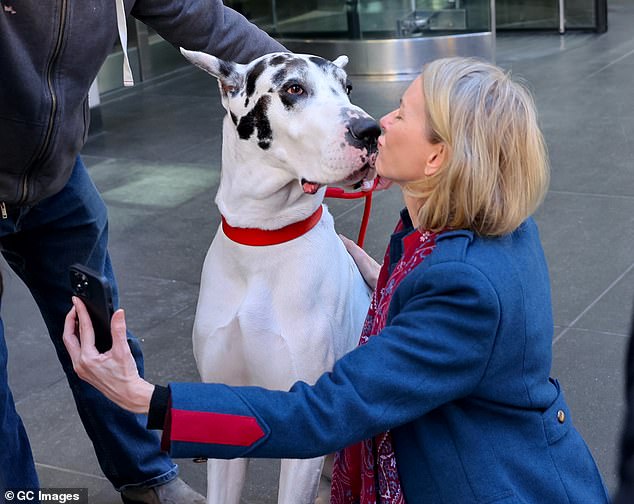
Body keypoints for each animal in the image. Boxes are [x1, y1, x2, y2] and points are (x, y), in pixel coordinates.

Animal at [179, 50, 376, 504]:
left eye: (347, 87)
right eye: (294, 88)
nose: (372, 131)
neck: (264, 239)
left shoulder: (308, 437)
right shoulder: (227, 421)